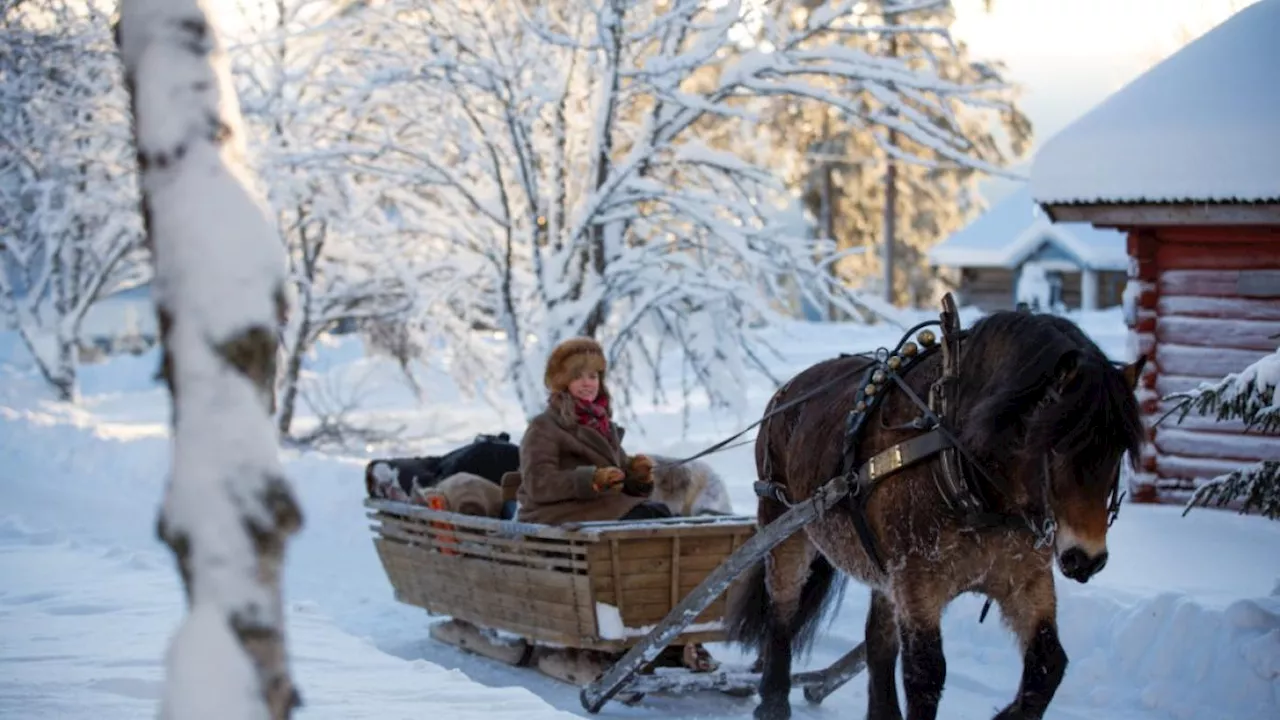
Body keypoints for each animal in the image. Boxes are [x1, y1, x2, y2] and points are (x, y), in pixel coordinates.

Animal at [727, 307, 1146, 717]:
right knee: (782, 612)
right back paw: (773, 700)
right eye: (1056, 441)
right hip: (785, 527)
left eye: (1120, 448)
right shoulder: (917, 581)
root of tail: (787, 390)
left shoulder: (1025, 579)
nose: (1086, 558)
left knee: (877, 641)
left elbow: (1049, 665)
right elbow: (925, 674)